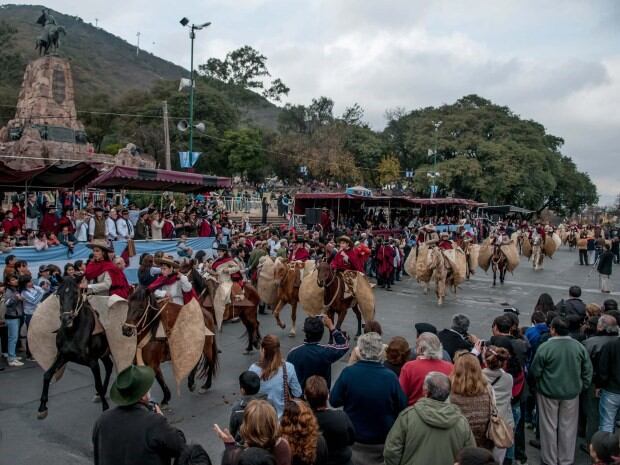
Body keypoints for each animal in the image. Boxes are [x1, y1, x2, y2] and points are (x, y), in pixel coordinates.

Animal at [37, 278, 114, 418]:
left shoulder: (93, 362)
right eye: (59, 294)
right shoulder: (63, 356)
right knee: (109, 366)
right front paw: (42, 408)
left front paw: (105, 408)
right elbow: (47, 375)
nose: (66, 318)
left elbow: (98, 384)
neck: (73, 332)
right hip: (104, 354)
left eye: (76, 293)